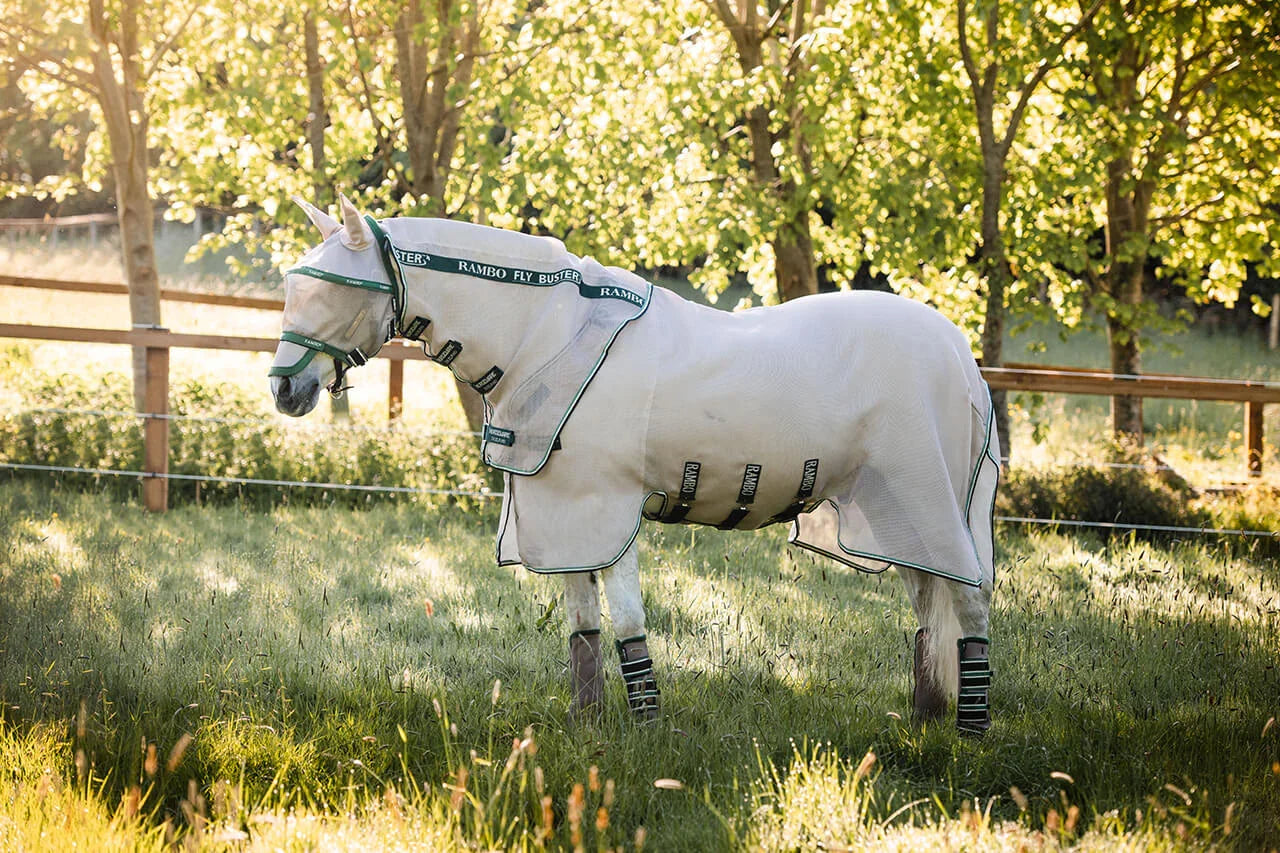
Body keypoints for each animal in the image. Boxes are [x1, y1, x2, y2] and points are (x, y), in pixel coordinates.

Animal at [269, 195, 1001, 735]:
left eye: (338, 290)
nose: (284, 389)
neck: (551, 336)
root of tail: (957, 351)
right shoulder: (560, 512)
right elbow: (583, 624)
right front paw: (588, 721)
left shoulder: (606, 508)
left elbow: (625, 620)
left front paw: (647, 726)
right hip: (896, 514)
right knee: (928, 603)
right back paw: (926, 714)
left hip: (932, 503)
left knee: (969, 600)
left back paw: (971, 729)